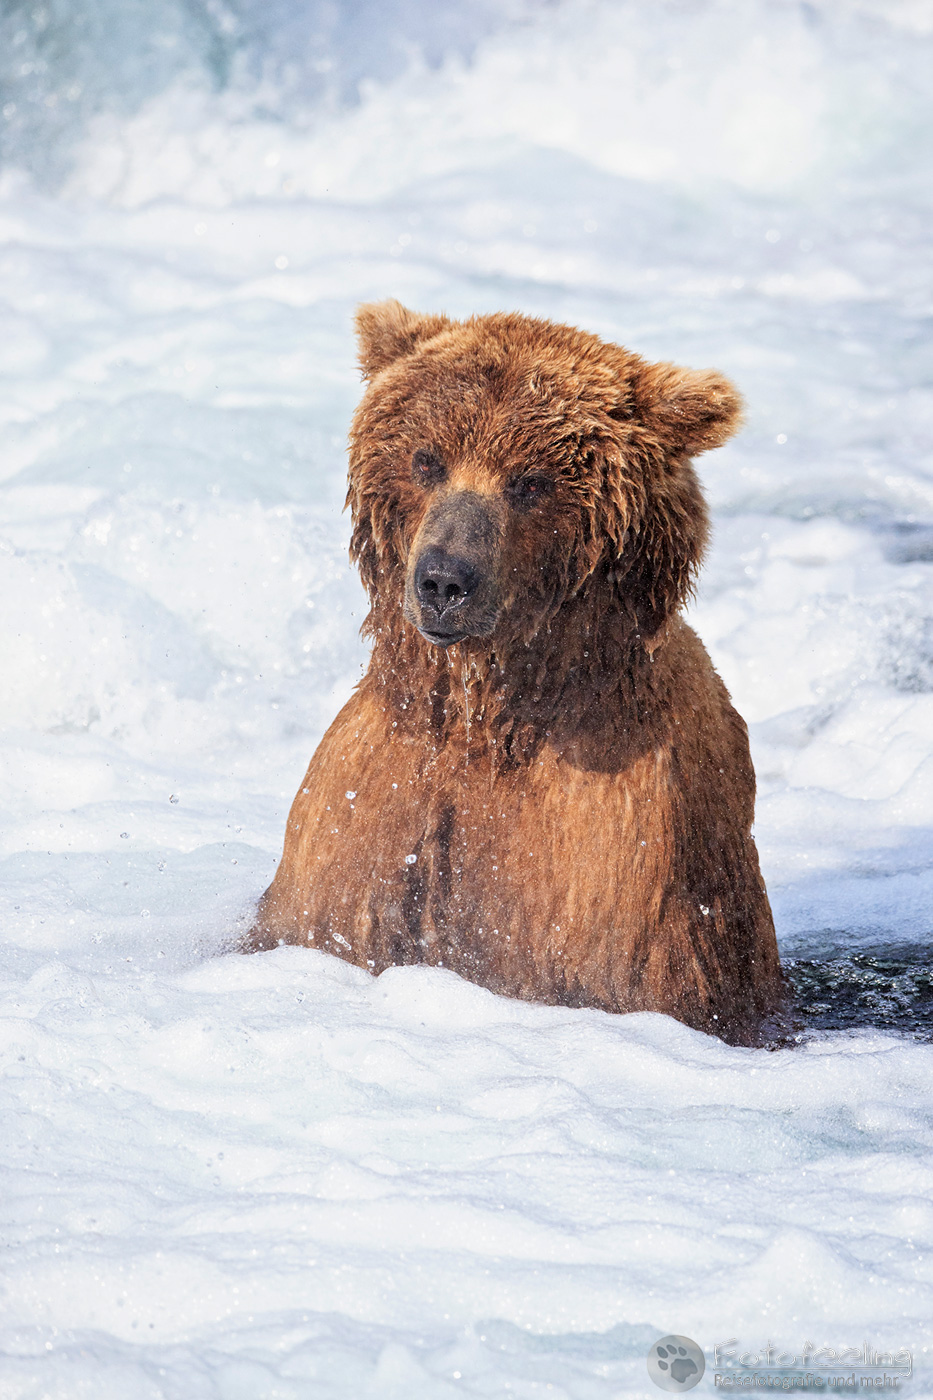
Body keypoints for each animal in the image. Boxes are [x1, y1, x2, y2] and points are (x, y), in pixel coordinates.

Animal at [243, 300, 782, 1045]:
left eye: (532, 481)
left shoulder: (613, 861)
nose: (444, 580)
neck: (488, 716)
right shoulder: (360, 821)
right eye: (427, 458)